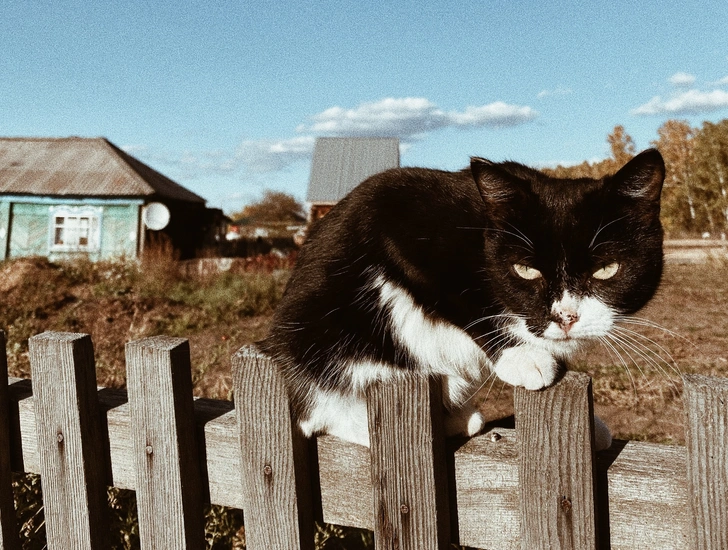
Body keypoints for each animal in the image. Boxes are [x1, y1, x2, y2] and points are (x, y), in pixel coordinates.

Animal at [262, 148, 664, 452]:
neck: (481, 232)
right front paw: (522, 356)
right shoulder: (395, 211)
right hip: (320, 337)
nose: (565, 316)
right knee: (318, 408)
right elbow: (458, 299)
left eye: (607, 269)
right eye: (525, 270)